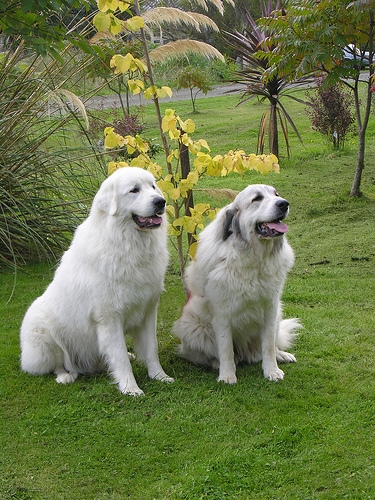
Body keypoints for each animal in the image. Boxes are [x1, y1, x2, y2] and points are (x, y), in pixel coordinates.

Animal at [22, 167, 176, 394]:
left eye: (153, 187)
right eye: (134, 190)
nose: (161, 201)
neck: (127, 245)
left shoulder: (148, 310)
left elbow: (151, 348)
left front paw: (159, 376)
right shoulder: (109, 318)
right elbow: (119, 356)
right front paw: (130, 388)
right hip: (43, 333)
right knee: (57, 364)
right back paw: (65, 376)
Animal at [176, 184, 302, 382]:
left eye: (276, 195)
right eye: (257, 199)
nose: (284, 204)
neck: (255, 259)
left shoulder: (271, 307)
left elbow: (268, 345)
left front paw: (271, 370)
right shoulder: (222, 314)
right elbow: (226, 348)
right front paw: (227, 375)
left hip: (278, 314)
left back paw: (281, 355)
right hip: (193, 326)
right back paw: (217, 364)